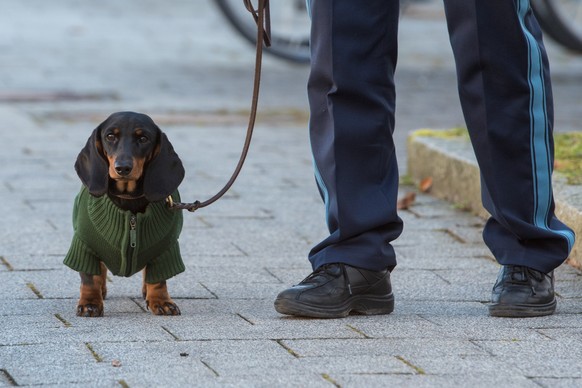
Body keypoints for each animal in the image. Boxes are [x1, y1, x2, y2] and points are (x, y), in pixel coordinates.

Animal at [63, 110, 185, 316]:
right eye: (110, 136)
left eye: (143, 138)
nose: (122, 168)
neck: (128, 199)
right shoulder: (84, 245)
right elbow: (90, 278)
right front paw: (90, 302)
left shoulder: (166, 249)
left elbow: (158, 280)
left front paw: (161, 301)